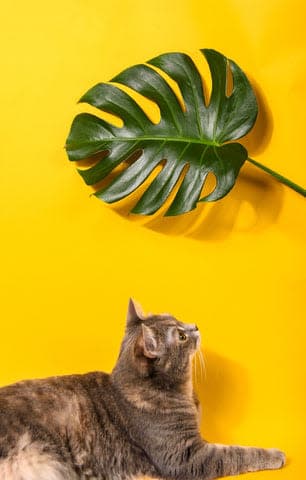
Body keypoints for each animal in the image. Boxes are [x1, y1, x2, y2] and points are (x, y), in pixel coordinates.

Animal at [0, 300, 284, 480]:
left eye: (177, 316)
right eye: (181, 336)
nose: (195, 326)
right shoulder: (184, 457)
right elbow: (235, 453)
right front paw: (276, 455)